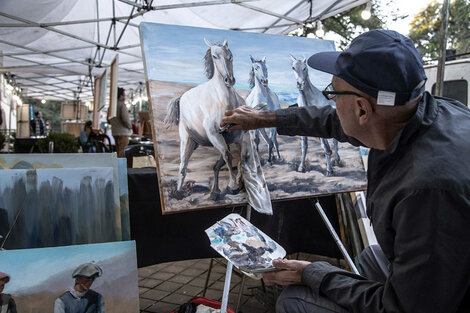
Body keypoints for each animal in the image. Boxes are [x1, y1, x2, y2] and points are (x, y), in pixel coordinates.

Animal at [165, 39, 244, 200]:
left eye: (230, 56)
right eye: (214, 56)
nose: (229, 80)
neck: (225, 103)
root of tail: (181, 98)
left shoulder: (235, 138)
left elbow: (236, 159)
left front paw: (231, 186)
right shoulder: (214, 135)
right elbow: (228, 156)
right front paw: (232, 186)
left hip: (196, 143)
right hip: (187, 140)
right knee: (183, 166)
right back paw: (178, 192)